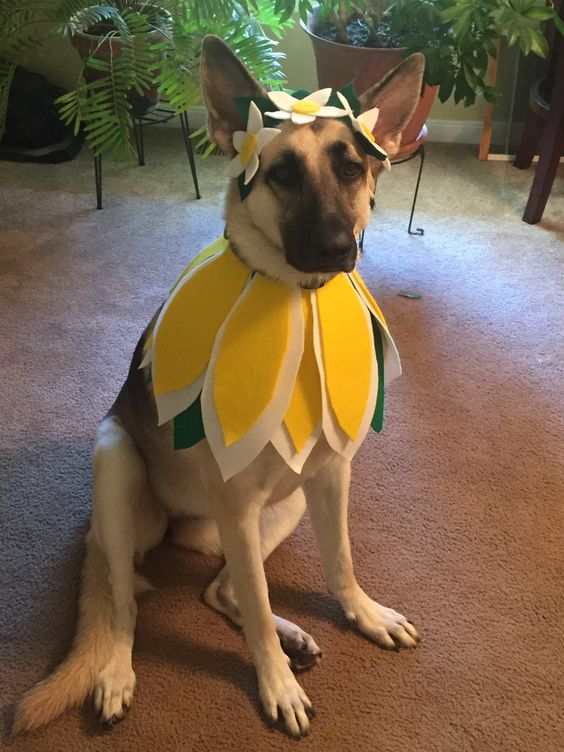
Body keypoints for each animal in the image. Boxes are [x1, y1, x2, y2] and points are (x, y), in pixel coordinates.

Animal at [14, 36, 424, 740]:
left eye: (351, 170)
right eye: (283, 174)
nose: (337, 248)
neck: (294, 304)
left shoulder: (330, 478)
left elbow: (339, 562)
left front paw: (362, 614)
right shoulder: (236, 504)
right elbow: (255, 610)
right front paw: (275, 685)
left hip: (280, 509)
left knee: (220, 589)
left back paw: (294, 636)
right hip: (118, 467)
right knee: (125, 604)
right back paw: (117, 672)